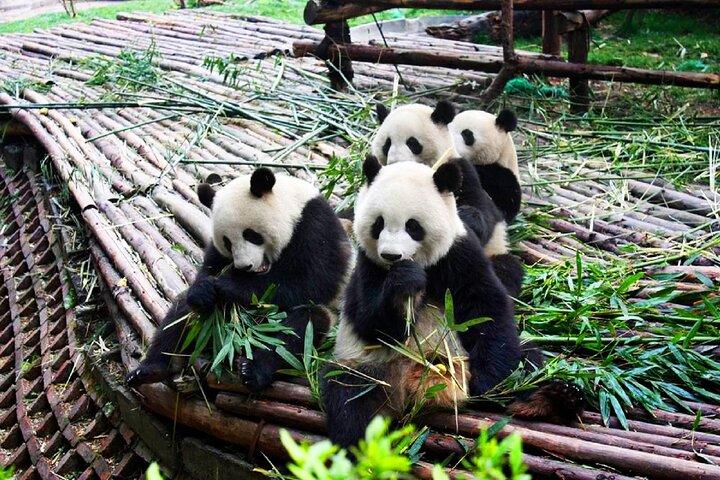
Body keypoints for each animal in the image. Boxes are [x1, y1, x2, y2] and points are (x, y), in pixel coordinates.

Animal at [126, 168, 351, 391]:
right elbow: (209, 269)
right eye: (227, 242)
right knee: (180, 312)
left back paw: (253, 371)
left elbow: (312, 282)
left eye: (251, 235)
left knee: (300, 327)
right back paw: (149, 370)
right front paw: (206, 289)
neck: (292, 205)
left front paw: (229, 286)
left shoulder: (315, 228)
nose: (245, 267)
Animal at [322, 158, 583, 447]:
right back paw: (362, 446)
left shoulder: (459, 253)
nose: (391, 255)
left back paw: (552, 398)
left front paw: (486, 382)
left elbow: (486, 307)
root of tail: (419, 384)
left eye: (413, 226)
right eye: (378, 224)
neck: (423, 265)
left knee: (526, 364)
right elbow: (370, 322)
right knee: (351, 398)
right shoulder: (368, 265)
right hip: (371, 368)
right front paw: (405, 285)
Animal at [371, 101, 523, 296]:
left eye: (412, 143)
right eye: (387, 144)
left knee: (507, 268)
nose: (396, 162)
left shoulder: (460, 171)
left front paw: (466, 218)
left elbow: (482, 204)